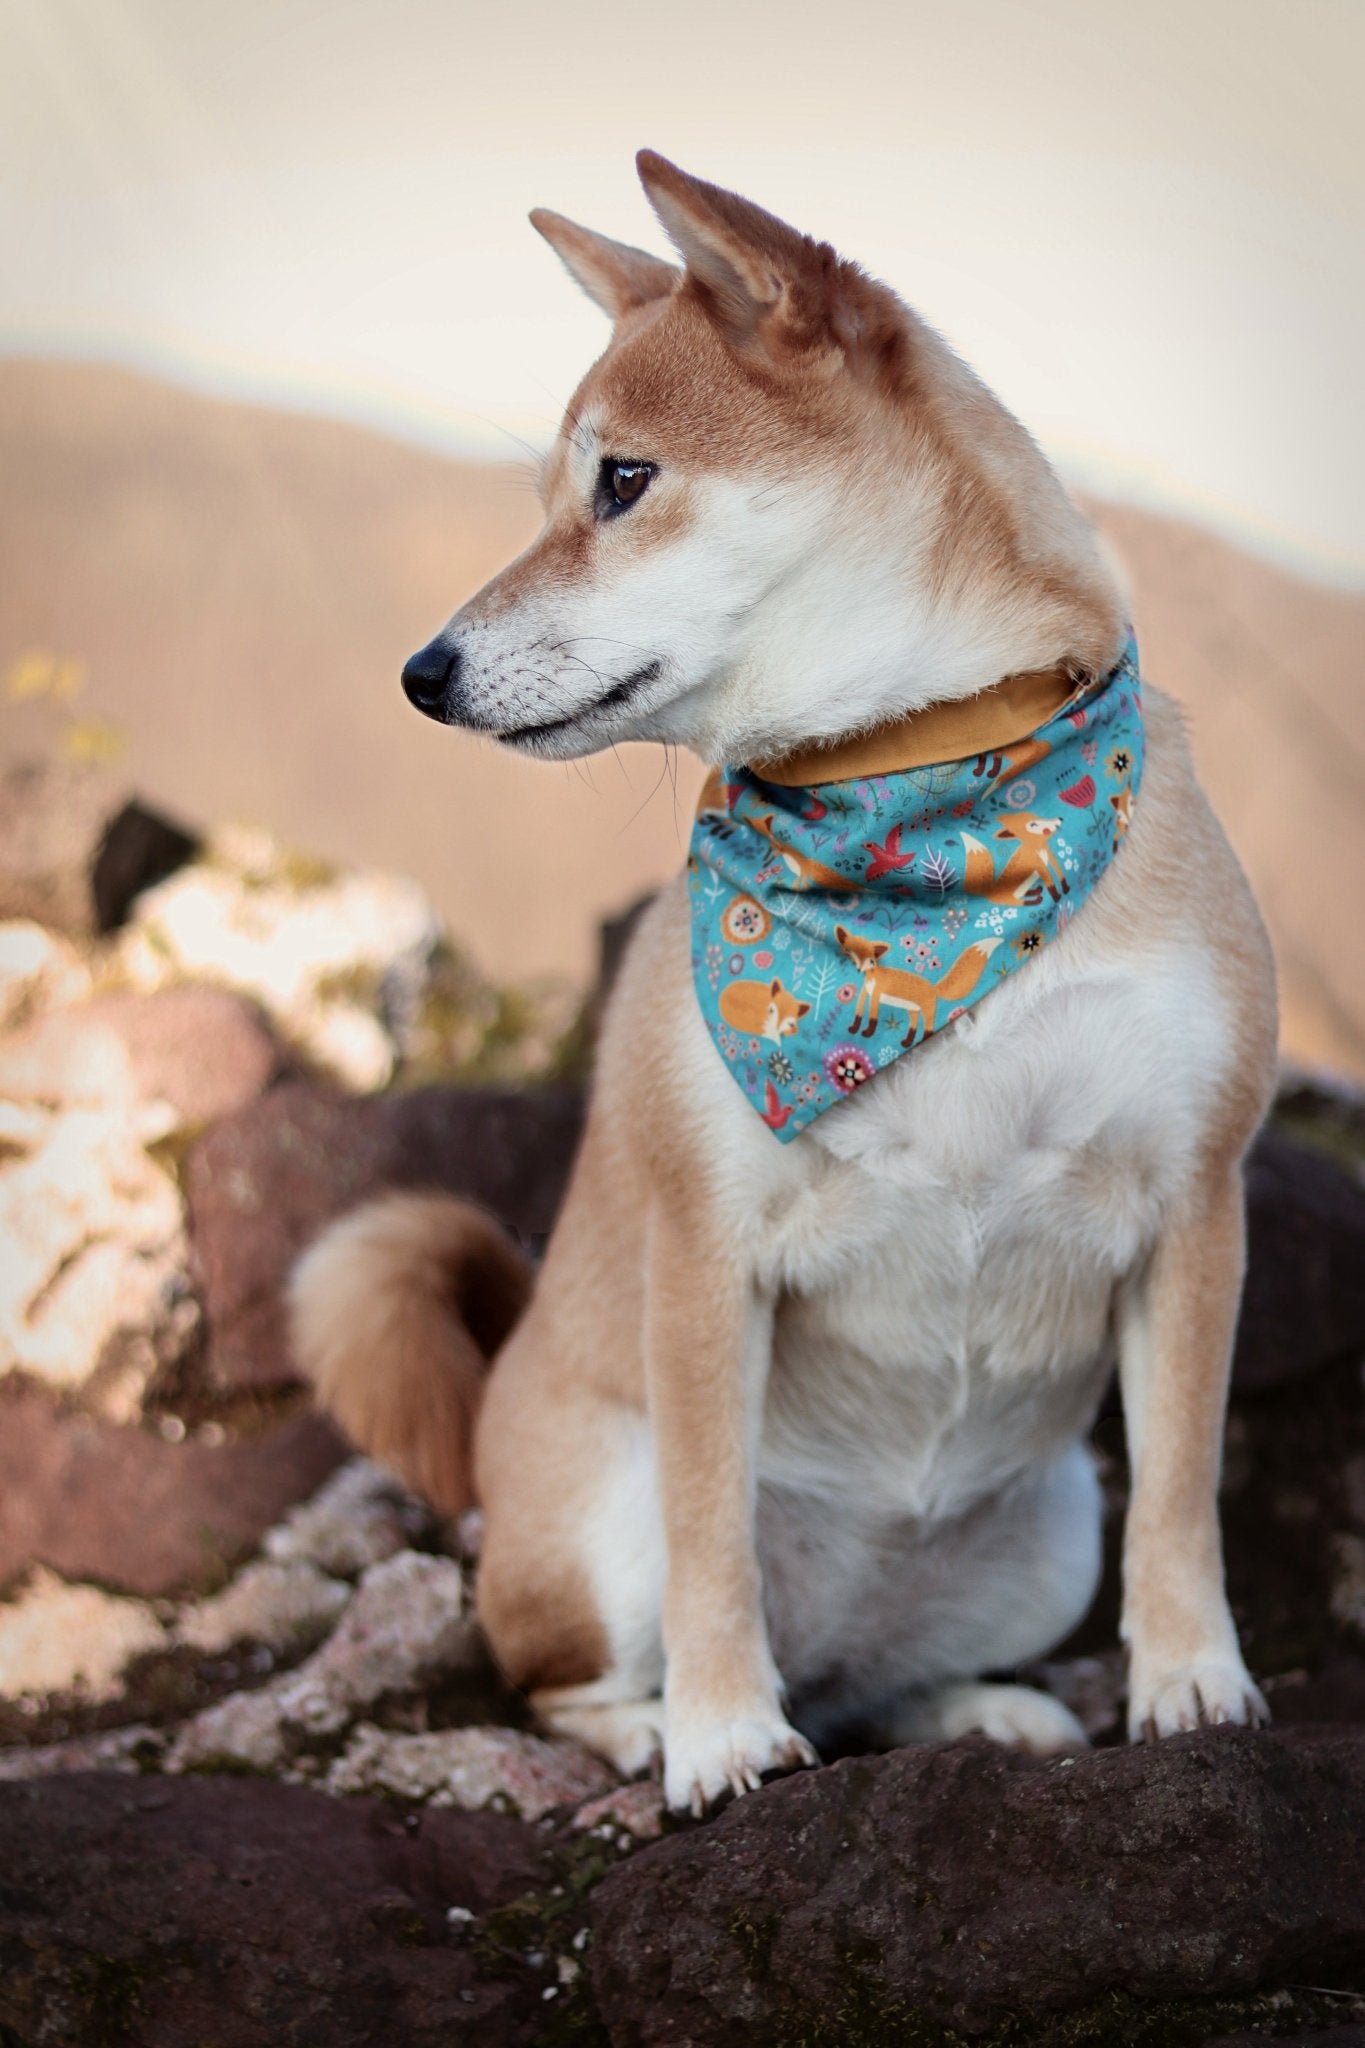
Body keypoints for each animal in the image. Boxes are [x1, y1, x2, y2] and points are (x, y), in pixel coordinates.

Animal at [835, 927, 1000, 1045]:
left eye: (870, 960)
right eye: (849, 952)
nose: (859, 969)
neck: (871, 977)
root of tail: (933, 987)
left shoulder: (876, 994)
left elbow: (872, 1018)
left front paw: (868, 1033)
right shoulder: (865, 993)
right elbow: (858, 1013)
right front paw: (854, 1029)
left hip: (927, 1010)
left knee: (928, 1027)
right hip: (913, 1010)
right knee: (913, 1027)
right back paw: (907, 1042)